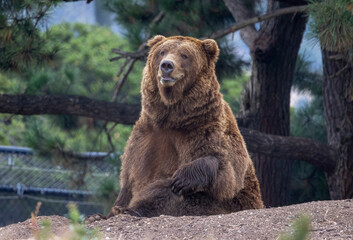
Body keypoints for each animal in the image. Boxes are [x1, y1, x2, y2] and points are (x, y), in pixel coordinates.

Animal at [92, 34, 262, 220]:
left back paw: (135, 209)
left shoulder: (205, 129)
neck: (172, 118)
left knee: (171, 192)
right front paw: (110, 211)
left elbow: (227, 169)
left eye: (185, 55)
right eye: (162, 51)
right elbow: (130, 178)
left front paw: (182, 179)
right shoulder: (145, 137)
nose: (167, 65)